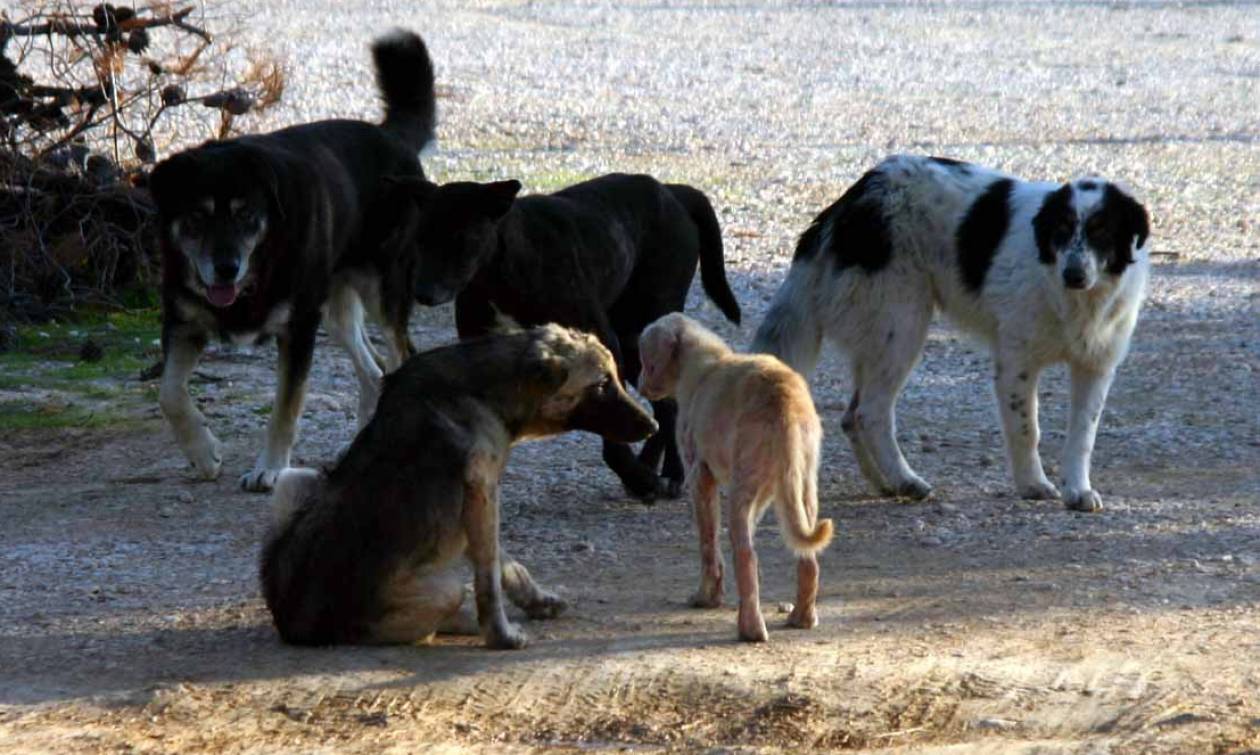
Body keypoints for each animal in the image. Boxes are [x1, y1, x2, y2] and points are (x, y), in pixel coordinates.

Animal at [149, 29, 438, 494]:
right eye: (197, 216)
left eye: (246, 215)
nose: (225, 268)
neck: (258, 267)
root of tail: (391, 137)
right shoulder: (183, 322)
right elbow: (169, 393)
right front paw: (203, 453)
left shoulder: (298, 328)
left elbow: (285, 408)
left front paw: (269, 469)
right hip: (336, 309)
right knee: (374, 372)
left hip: (382, 291)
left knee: (400, 355)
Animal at [254, 325, 650, 650]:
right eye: (601, 384)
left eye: (615, 377)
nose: (654, 426)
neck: (484, 390)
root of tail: (291, 623)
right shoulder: (482, 493)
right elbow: (489, 576)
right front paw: (501, 636)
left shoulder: (481, 503)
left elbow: (506, 563)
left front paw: (536, 601)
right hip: (442, 590)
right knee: (433, 618)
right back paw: (462, 621)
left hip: (295, 479)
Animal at [383, 172, 735, 501]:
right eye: (420, 239)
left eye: (462, 239)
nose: (422, 292)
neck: (502, 268)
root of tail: (672, 191)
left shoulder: (604, 344)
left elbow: (613, 433)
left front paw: (638, 478)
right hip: (635, 344)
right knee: (665, 405)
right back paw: (652, 466)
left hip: (642, 327)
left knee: (670, 404)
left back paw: (671, 474)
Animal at [640, 312, 836, 642]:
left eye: (646, 361)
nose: (640, 387)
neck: (704, 362)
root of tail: (785, 402)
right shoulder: (767, 492)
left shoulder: (700, 477)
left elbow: (708, 545)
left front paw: (706, 598)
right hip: (802, 487)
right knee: (807, 558)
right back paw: (802, 618)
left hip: (742, 490)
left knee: (746, 555)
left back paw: (750, 628)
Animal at [750, 154, 1149, 511]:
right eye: (1061, 230)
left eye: (1101, 231)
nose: (1074, 274)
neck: (1075, 299)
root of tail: (853, 198)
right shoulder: (1016, 364)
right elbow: (1026, 429)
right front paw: (1033, 484)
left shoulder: (1095, 367)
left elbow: (1083, 435)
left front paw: (1077, 491)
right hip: (902, 325)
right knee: (870, 412)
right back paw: (905, 480)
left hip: (879, 336)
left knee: (851, 417)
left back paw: (884, 483)